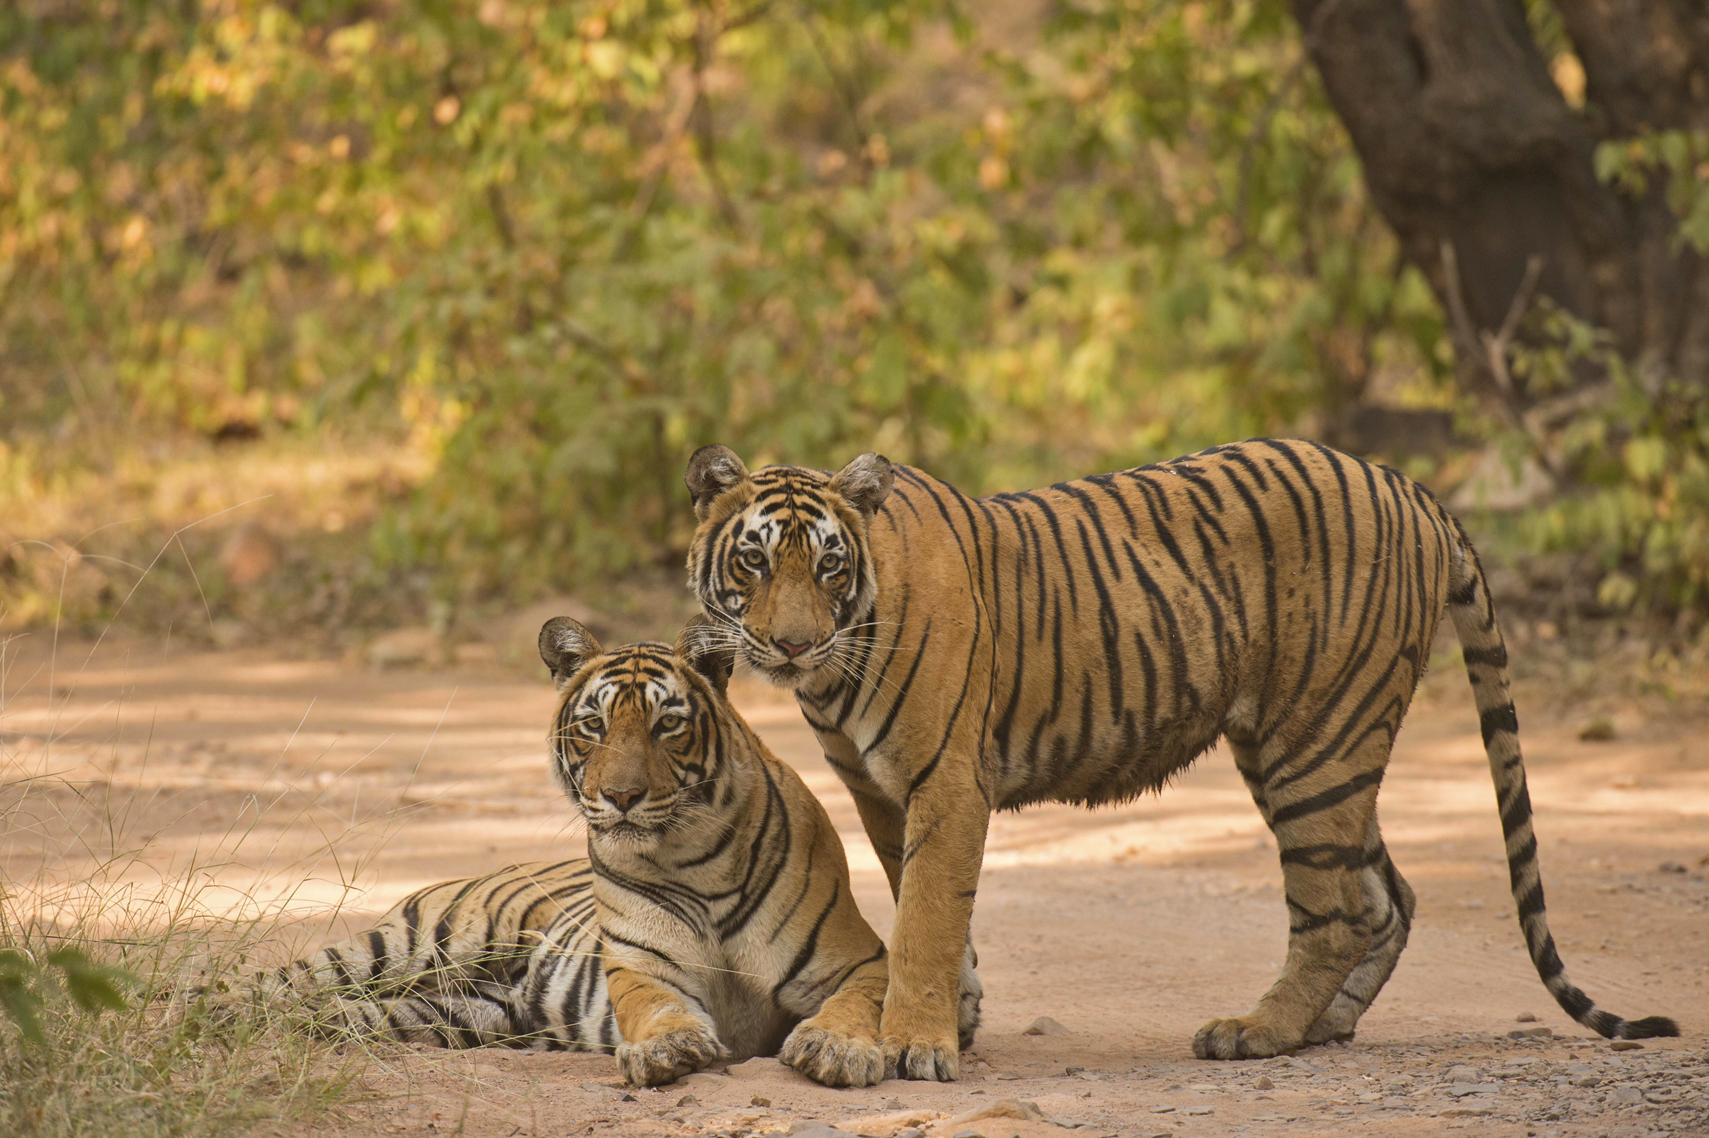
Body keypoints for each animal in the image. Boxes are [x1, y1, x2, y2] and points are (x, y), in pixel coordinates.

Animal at [247, 617, 891, 1088]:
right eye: (594, 725)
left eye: (666, 724)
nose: (622, 796)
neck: (697, 857)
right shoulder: (641, 966)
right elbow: (657, 1006)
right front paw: (666, 1047)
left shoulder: (856, 959)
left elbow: (859, 1002)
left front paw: (834, 1048)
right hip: (409, 943)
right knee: (279, 981)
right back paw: (220, 1010)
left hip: (456, 1011)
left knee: (334, 1012)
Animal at [683, 438, 1679, 1081]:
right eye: (754, 562)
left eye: (828, 566)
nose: (790, 645)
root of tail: (1410, 485)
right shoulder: (881, 793)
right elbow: (922, 904)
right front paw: (950, 1024)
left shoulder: (945, 783)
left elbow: (927, 915)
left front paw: (912, 1045)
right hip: (1315, 749)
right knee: (1385, 894)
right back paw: (1325, 1026)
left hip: (1314, 740)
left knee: (1335, 912)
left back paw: (1258, 1032)